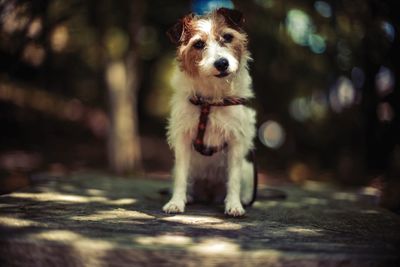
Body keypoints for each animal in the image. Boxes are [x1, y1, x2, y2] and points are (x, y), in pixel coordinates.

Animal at [162, 7, 256, 218]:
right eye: (198, 44)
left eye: (227, 37)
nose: (222, 63)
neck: (211, 100)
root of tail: (209, 192)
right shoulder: (182, 139)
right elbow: (181, 176)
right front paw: (176, 202)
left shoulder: (236, 141)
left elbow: (234, 179)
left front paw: (234, 205)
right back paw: (188, 196)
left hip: (249, 168)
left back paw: (244, 199)